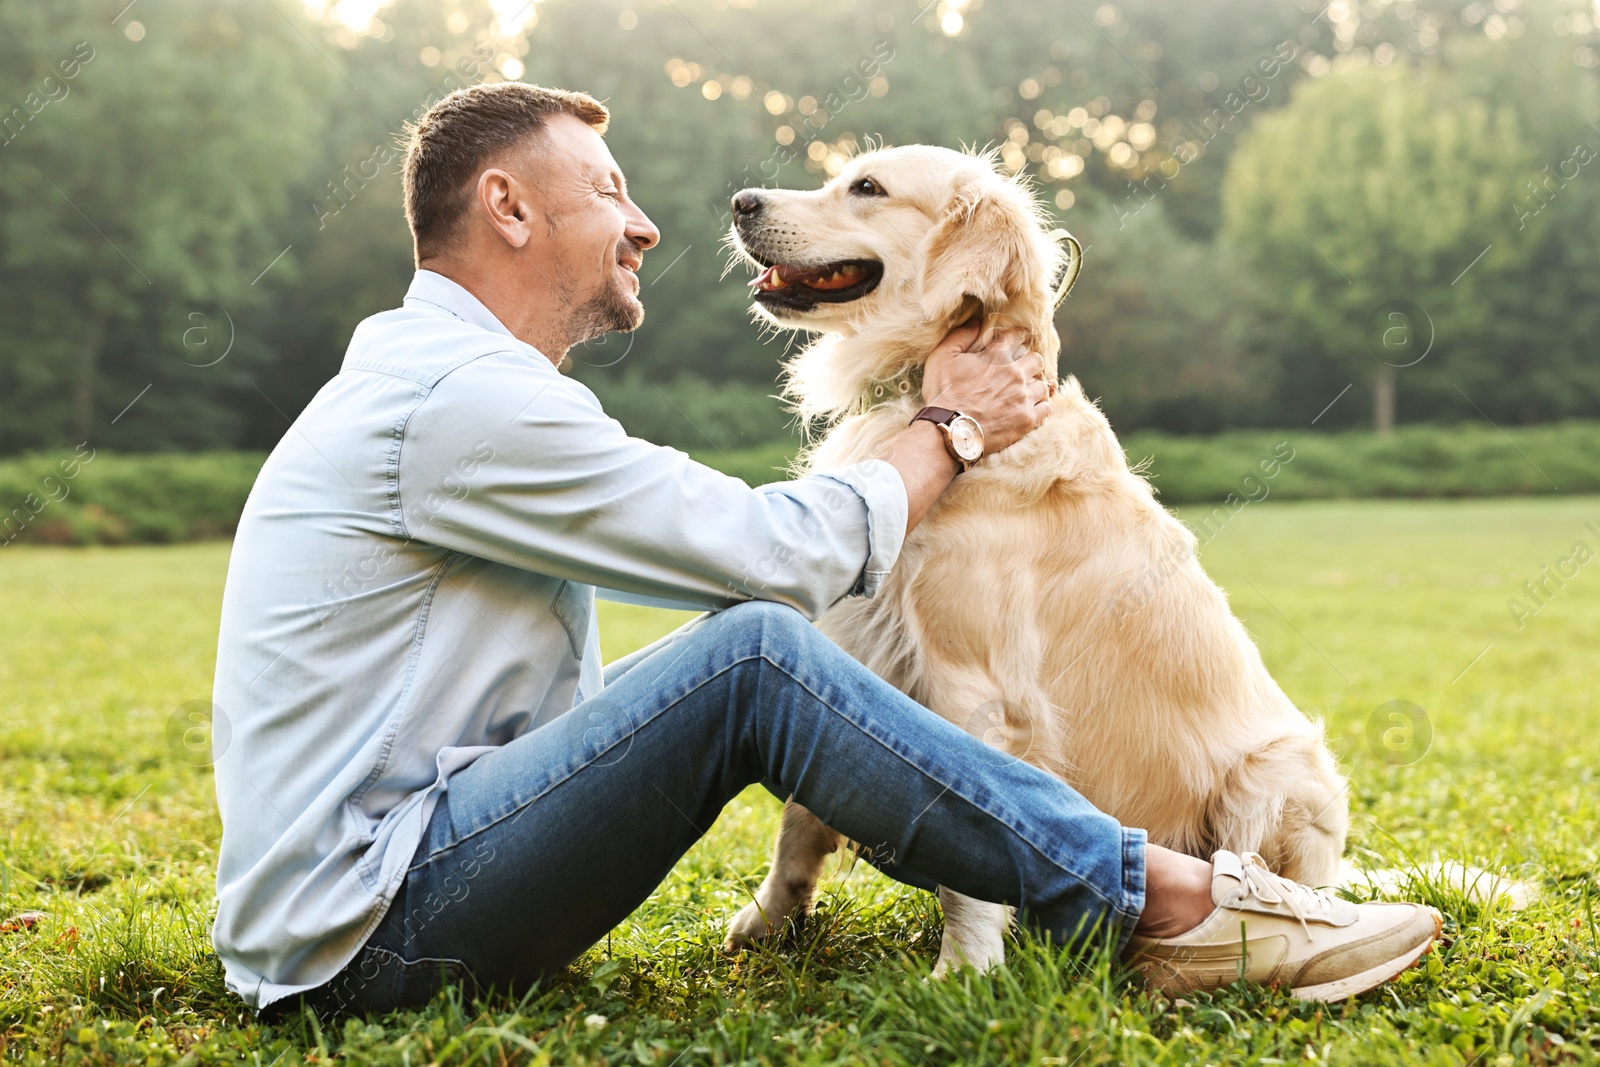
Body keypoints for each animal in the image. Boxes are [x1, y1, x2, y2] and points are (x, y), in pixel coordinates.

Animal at [726, 143, 1350, 979]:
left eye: (867, 187)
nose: (741, 201)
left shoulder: (977, 689)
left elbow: (969, 843)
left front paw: (962, 972)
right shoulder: (853, 649)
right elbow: (799, 817)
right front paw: (769, 918)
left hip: (1277, 773)